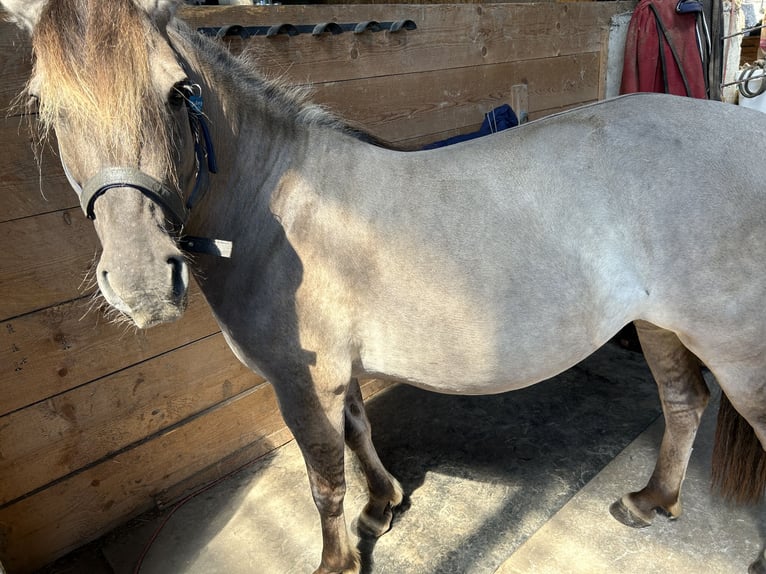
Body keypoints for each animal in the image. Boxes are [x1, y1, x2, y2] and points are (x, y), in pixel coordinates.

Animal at [4, 0, 766, 572]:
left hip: (733, 347)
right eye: (46, 108)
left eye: (178, 92)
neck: (276, 208)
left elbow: (323, 477)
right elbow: (359, 431)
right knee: (683, 404)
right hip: (661, 324)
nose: (141, 282)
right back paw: (650, 501)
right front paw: (383, 506)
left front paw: (337, 560)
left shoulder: (299, 381)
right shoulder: (335, 371)